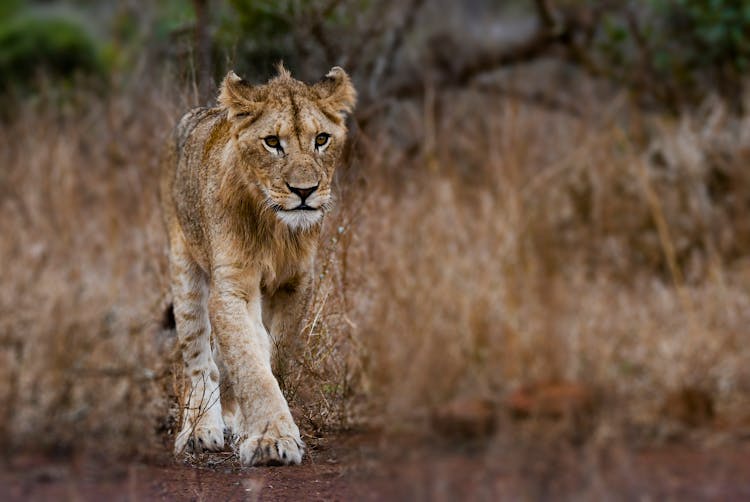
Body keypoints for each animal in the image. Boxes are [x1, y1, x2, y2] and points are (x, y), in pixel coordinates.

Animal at [159, 66, 358, 466]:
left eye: (322, 139)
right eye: (271, 142)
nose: (304, 191)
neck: (275, 228)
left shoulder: (297, 283)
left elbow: (271, 355)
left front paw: (254, 428)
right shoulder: (232, 286)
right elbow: (250, 362)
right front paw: (270, 439)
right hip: (185, 269)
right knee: (199, 361)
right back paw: (199, 429)